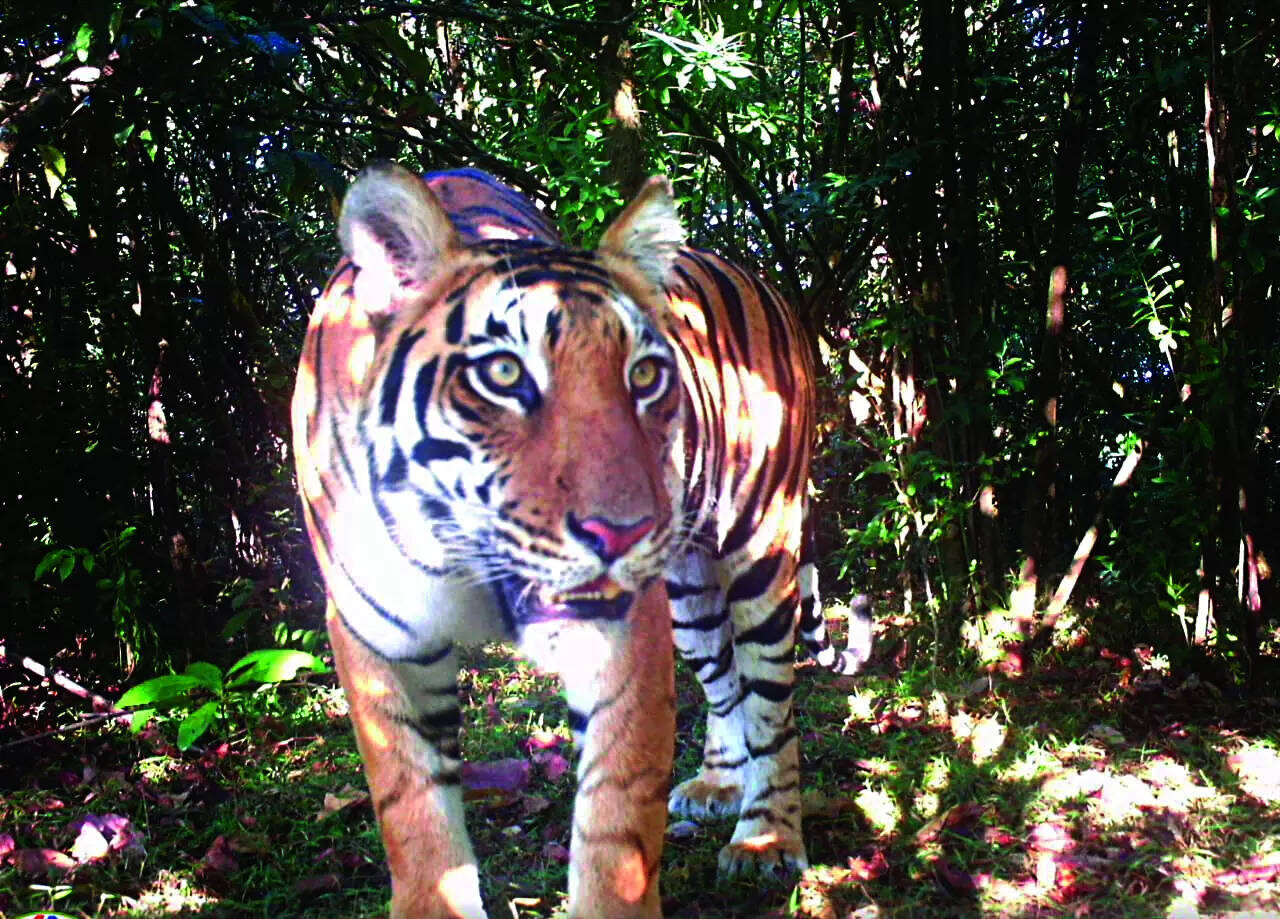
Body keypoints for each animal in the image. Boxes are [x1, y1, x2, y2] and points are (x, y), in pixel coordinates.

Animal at [291, 163, 871, 919]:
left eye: (645, 375)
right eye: (503, 375)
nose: (625, 529)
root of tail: (752, 272)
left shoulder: (624, 631)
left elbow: (614, 822)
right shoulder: (378, 640)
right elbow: (412, 813)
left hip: (760, 544)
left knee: (771, 699)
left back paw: (765, 839)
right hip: (689, 589)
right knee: (723, 682)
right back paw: (717, 783)